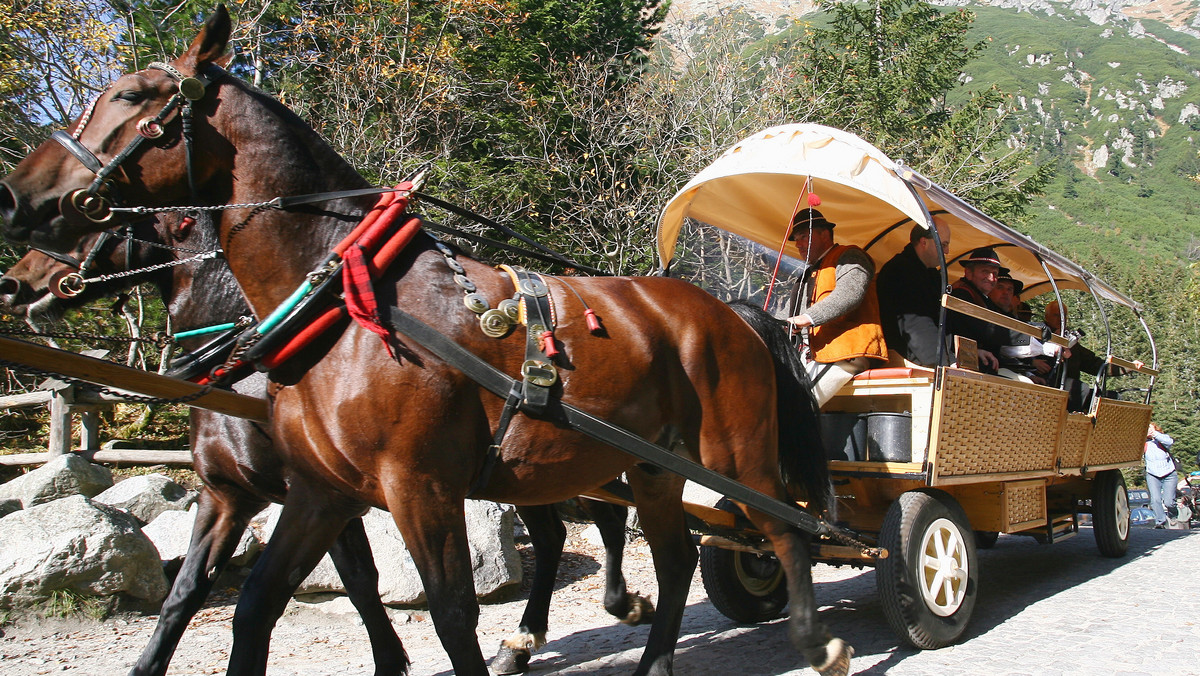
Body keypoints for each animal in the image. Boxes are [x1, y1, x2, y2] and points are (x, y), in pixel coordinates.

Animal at [0, 219, 648, 672]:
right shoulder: (235, 496)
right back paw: (526, 638)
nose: (16, 281)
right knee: (558, 532)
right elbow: (185, 592)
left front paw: (392, 661)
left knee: (602, 520)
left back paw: (606, 605)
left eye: (84, 218)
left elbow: (359, 580)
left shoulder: (330, 495)